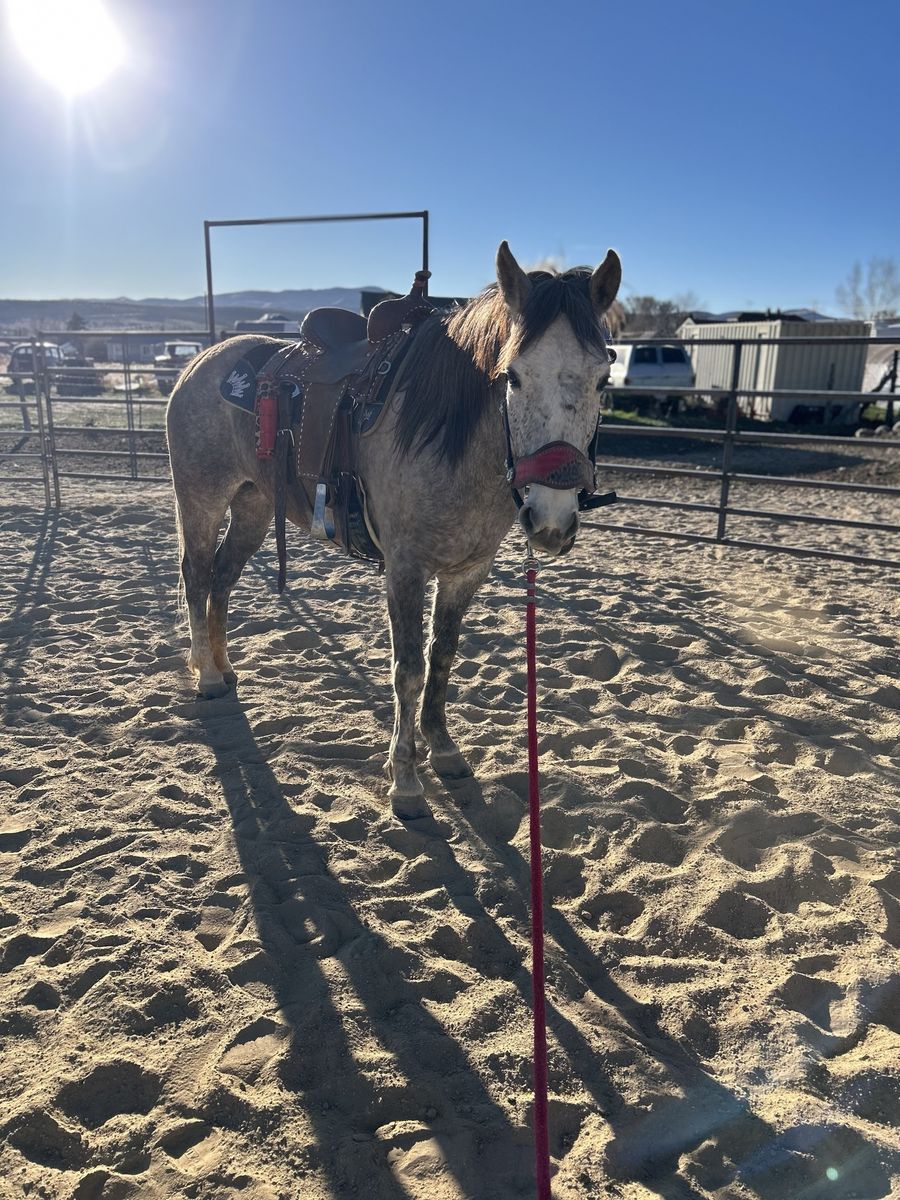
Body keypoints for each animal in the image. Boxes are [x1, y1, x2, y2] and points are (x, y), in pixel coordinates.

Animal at [166, 242, 621, 818]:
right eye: (513, 376)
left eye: (603, 379)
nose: (552, 520)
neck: (449, 438)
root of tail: (201, 362)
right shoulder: (405, 569)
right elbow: (408, 669)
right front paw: (405, 778)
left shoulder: (467, 572)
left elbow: (442, 657)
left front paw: (443, 748)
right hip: (201, 500)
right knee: (197, 576)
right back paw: (205, 673)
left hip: (252, 505)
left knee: (223, 577)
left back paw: (225, 669)